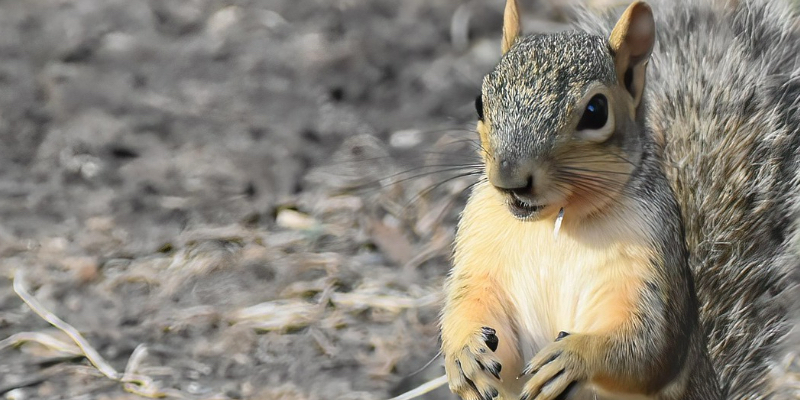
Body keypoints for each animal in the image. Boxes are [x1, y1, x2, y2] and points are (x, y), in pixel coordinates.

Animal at [440, 0, 798, 399]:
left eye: (596, 111)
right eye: (479, 103)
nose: (509, 180)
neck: (557, 224)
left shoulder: (650, 257)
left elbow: (647, 348)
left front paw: (576, 355)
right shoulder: (481, 246)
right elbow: (471, 305)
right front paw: (464, 354)